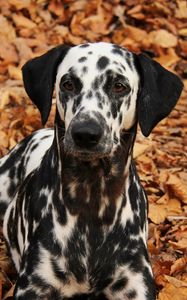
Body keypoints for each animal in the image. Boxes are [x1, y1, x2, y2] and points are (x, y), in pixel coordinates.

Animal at [0, 41, 183, 298]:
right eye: (68, 83)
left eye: (119, 86)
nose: (85, 133)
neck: (91, 198)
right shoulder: (35, 284)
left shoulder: (134, 282)